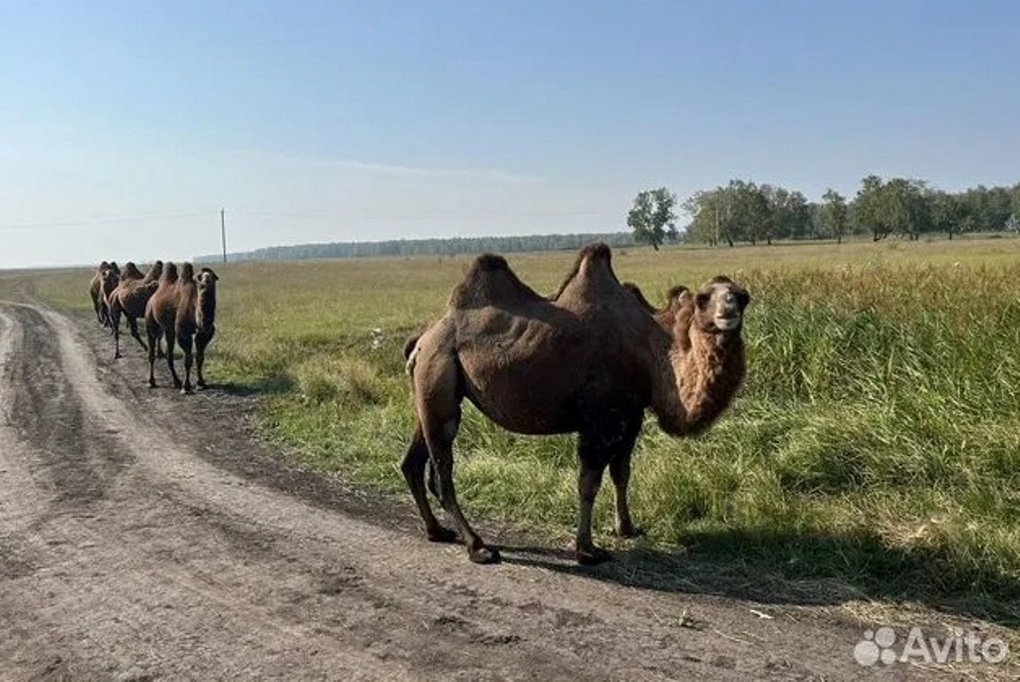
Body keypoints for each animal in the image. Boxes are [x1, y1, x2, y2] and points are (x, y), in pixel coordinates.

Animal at [145, 263, 219, 393]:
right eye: (199, 277)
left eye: (213, 276)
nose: (206, 282)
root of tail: (152, 298)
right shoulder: (183, 332)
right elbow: (188, 360)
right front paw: (186, 387)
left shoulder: (204, 333)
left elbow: (200, 358)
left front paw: (201, 383)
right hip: (150, 321)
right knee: (151, 353)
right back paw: (151, 382)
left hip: (169, 329)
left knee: (169, 355)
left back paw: (176, 382)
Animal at [402, 243, 749, 565]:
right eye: (704, 298)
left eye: (742, 295)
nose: (731, 306)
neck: (651, 351)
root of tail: (422, 339)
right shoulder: (599, 419)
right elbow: (589, 483)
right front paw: (587, 549)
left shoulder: (631, 416)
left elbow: (622, 473)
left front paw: (627, 528)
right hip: (439, 376)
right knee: (442, 473)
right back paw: (478, 547)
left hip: (430, 391)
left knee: (413, 462)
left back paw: (437, 531)